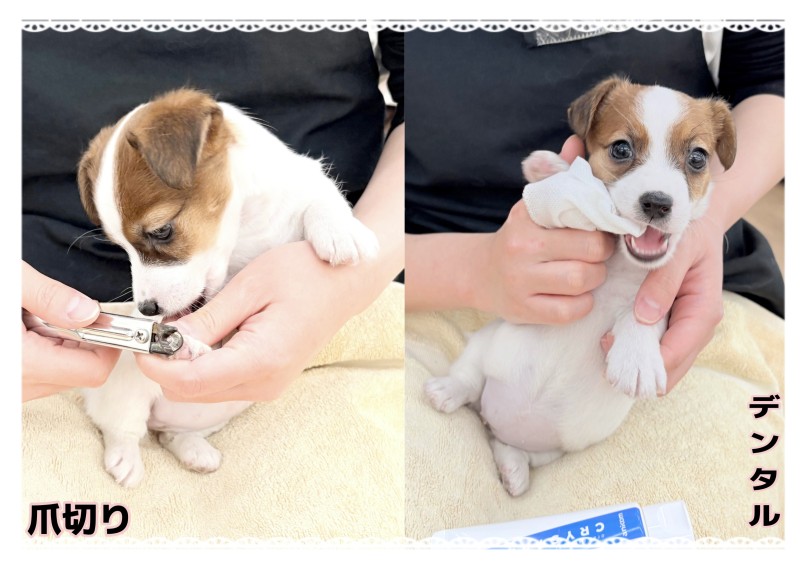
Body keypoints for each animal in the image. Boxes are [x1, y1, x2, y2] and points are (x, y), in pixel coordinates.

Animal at [76, 88, 378, 487]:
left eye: (161, 231)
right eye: (120, 247)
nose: (147, 310)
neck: (245, 231)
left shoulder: (304, 185)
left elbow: (322, 199)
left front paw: (341, 230)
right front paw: (185, 341)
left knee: (171, 434)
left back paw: (193, 449)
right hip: (127, 393)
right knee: (121, 428)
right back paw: (126, 456)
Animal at [423, 76, 736, 496]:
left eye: (698, 158)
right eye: (621, 149)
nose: (657, 203)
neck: (621, 263)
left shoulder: (664, 296)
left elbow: (645, 314)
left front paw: (637, 355)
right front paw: (551, 169)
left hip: (550, 448)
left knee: (508, 446)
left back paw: (513, 468)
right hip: (485, 348)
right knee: (468, 381)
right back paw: (447, 392)